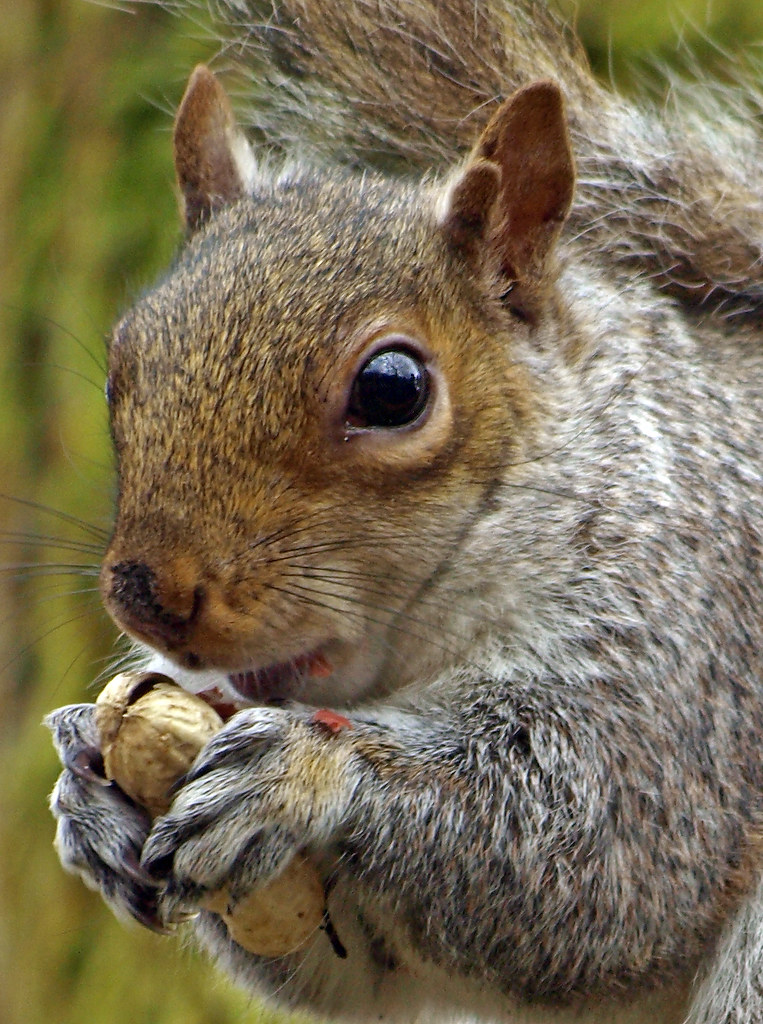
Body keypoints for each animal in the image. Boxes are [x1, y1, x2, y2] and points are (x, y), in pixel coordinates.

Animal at [45, 2, 762, 1023]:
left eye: (392, 389)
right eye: (122, 364)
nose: (146, 599)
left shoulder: (685, 649)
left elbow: (605, 859)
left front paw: (303, 771)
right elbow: (347, 956)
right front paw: (84, 786)